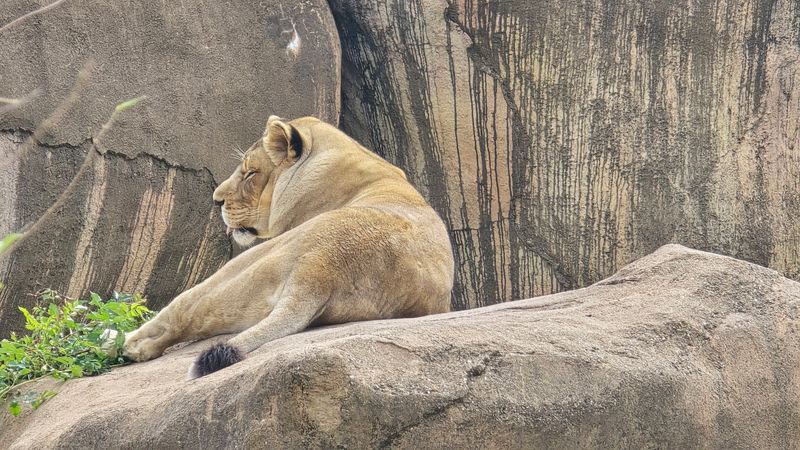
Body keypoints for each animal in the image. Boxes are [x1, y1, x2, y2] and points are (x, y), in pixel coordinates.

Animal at [121, 116, 455, 378]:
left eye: (250, 173)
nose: (216, 200)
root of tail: (323, 270)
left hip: (252, 262)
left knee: (185, 308)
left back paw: (130, 342)